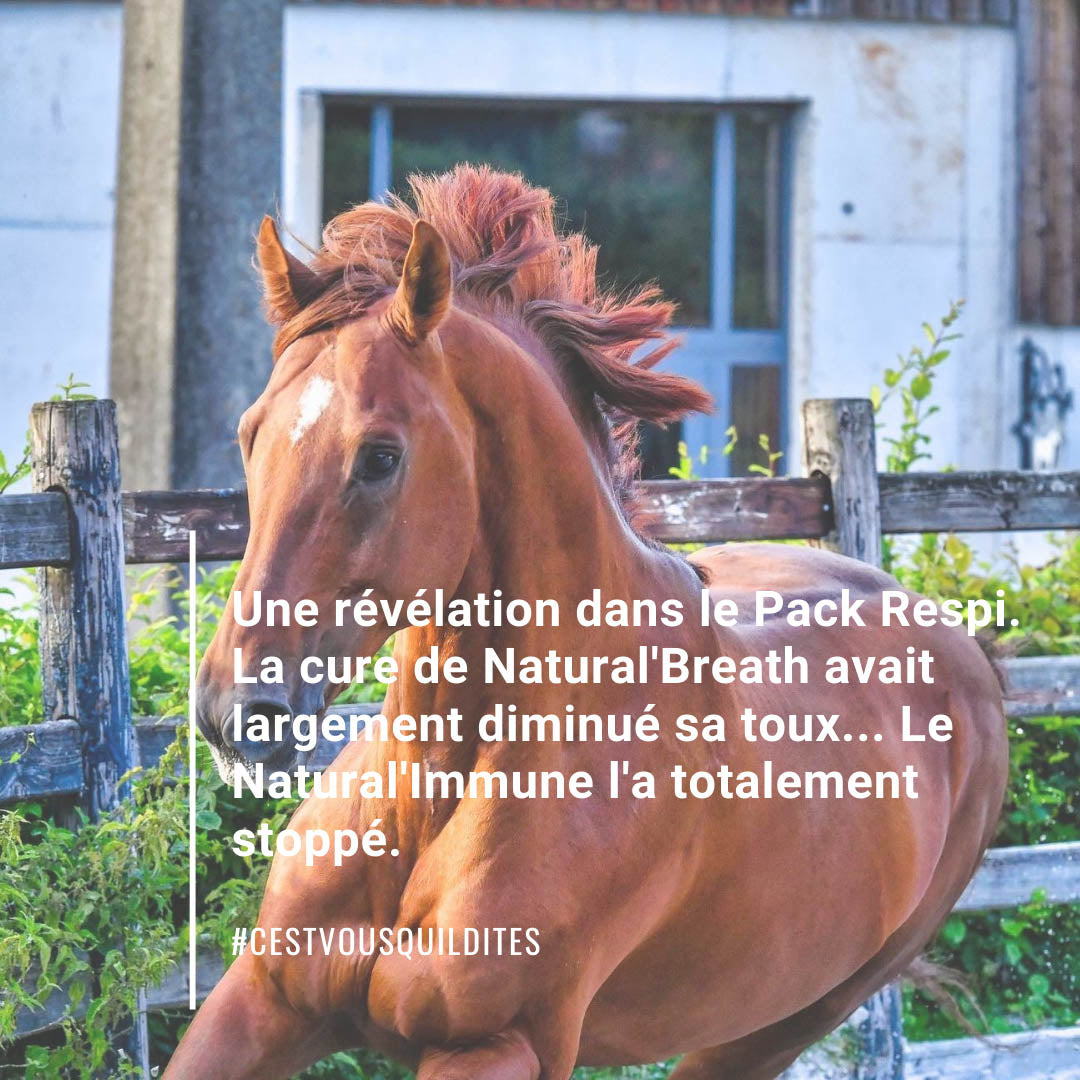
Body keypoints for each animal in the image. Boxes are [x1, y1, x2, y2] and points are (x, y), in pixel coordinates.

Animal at [166, 166, 1008, 1080]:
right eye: (250, 434)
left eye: (380, 456)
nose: (236, 713)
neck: (438, 796)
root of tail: (966, 653)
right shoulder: (263, 1000)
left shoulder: (495, 1045)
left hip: (778, 1026)